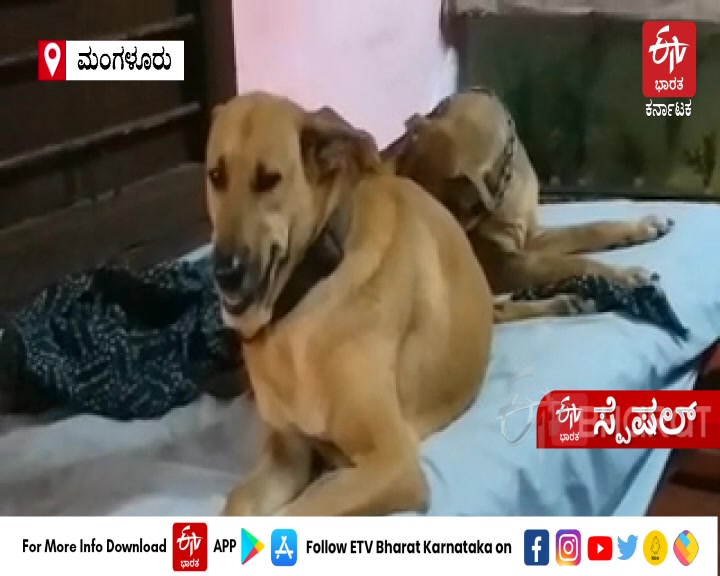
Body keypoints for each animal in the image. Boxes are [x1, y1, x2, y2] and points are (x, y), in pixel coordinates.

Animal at [205, 92, 492, 516]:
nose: (224, 271)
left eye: (269, 180)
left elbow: (304, 510)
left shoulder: (392, 462)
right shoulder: (286, 455)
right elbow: (237, 503)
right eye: (216, 176)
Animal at [386, 89, 672, 324]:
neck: (502, 184)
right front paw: (626, 275)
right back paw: (567, 302)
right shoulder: (502, 265)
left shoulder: (531, 237)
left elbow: (589, 228)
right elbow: (571, 262)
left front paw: (644, 226)